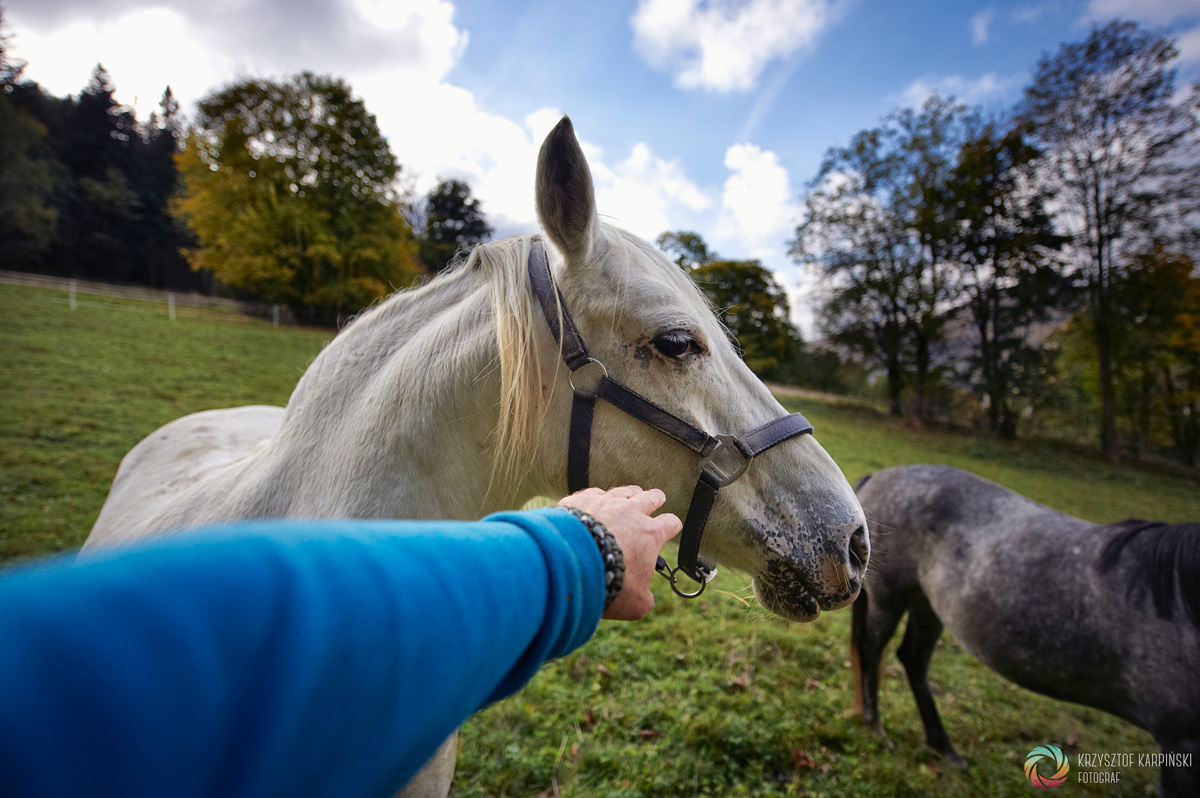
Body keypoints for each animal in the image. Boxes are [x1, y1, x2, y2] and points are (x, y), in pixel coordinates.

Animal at [849, 463, 1195, 792]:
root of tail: (876, 476)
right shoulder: (1180, 739)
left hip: (927, 603)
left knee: (912, 660)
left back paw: (943, 747)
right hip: (889, 598)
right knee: (871, 652)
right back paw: (876, 728)